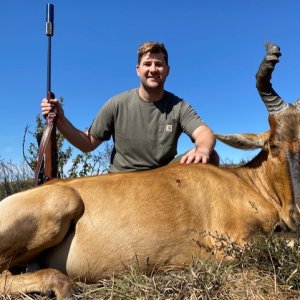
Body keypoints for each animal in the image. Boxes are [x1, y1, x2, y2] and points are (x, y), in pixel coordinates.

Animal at [0, 42, 300, 300]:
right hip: (64, 202)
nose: (296, 215)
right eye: (274, 144)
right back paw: (64, 286)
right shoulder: (233, 244)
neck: (242, 179)